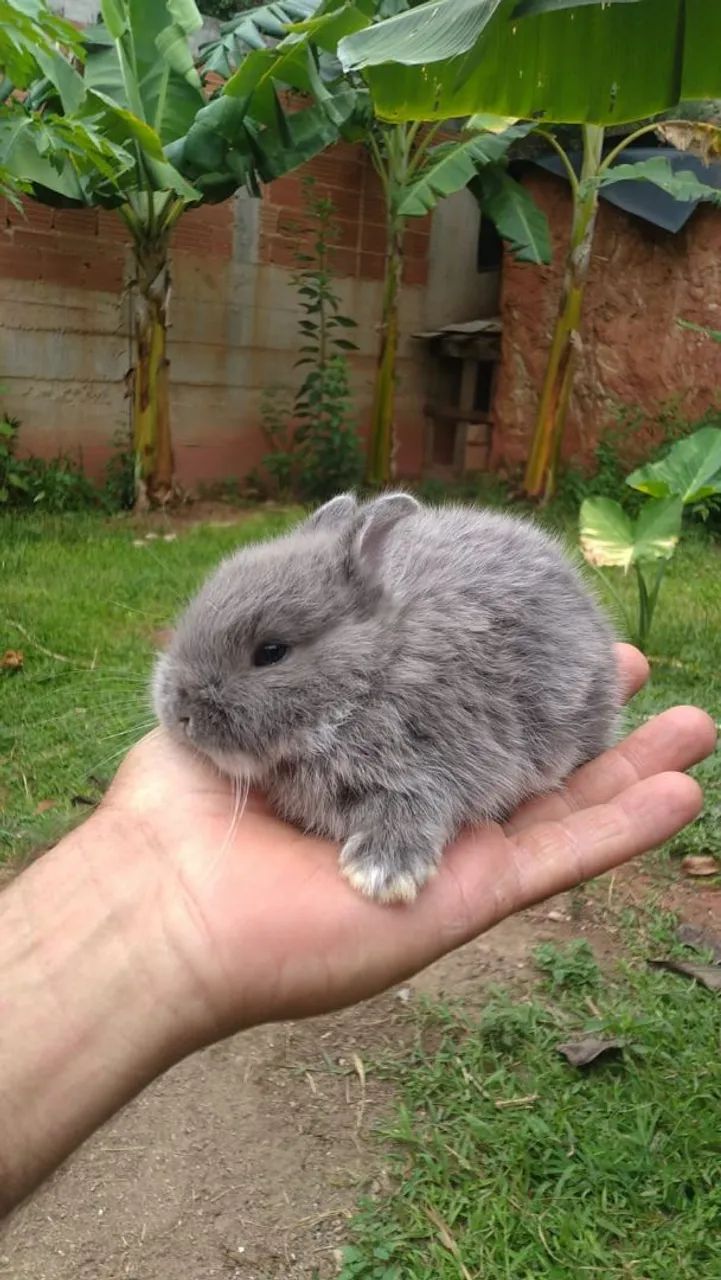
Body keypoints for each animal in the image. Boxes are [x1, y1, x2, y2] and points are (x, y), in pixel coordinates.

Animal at [153, 493, 618, 903]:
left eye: (271, 652)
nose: (180, 714)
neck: (373, 673)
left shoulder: (444, 756)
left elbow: (415, 803)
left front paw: (382, 873)